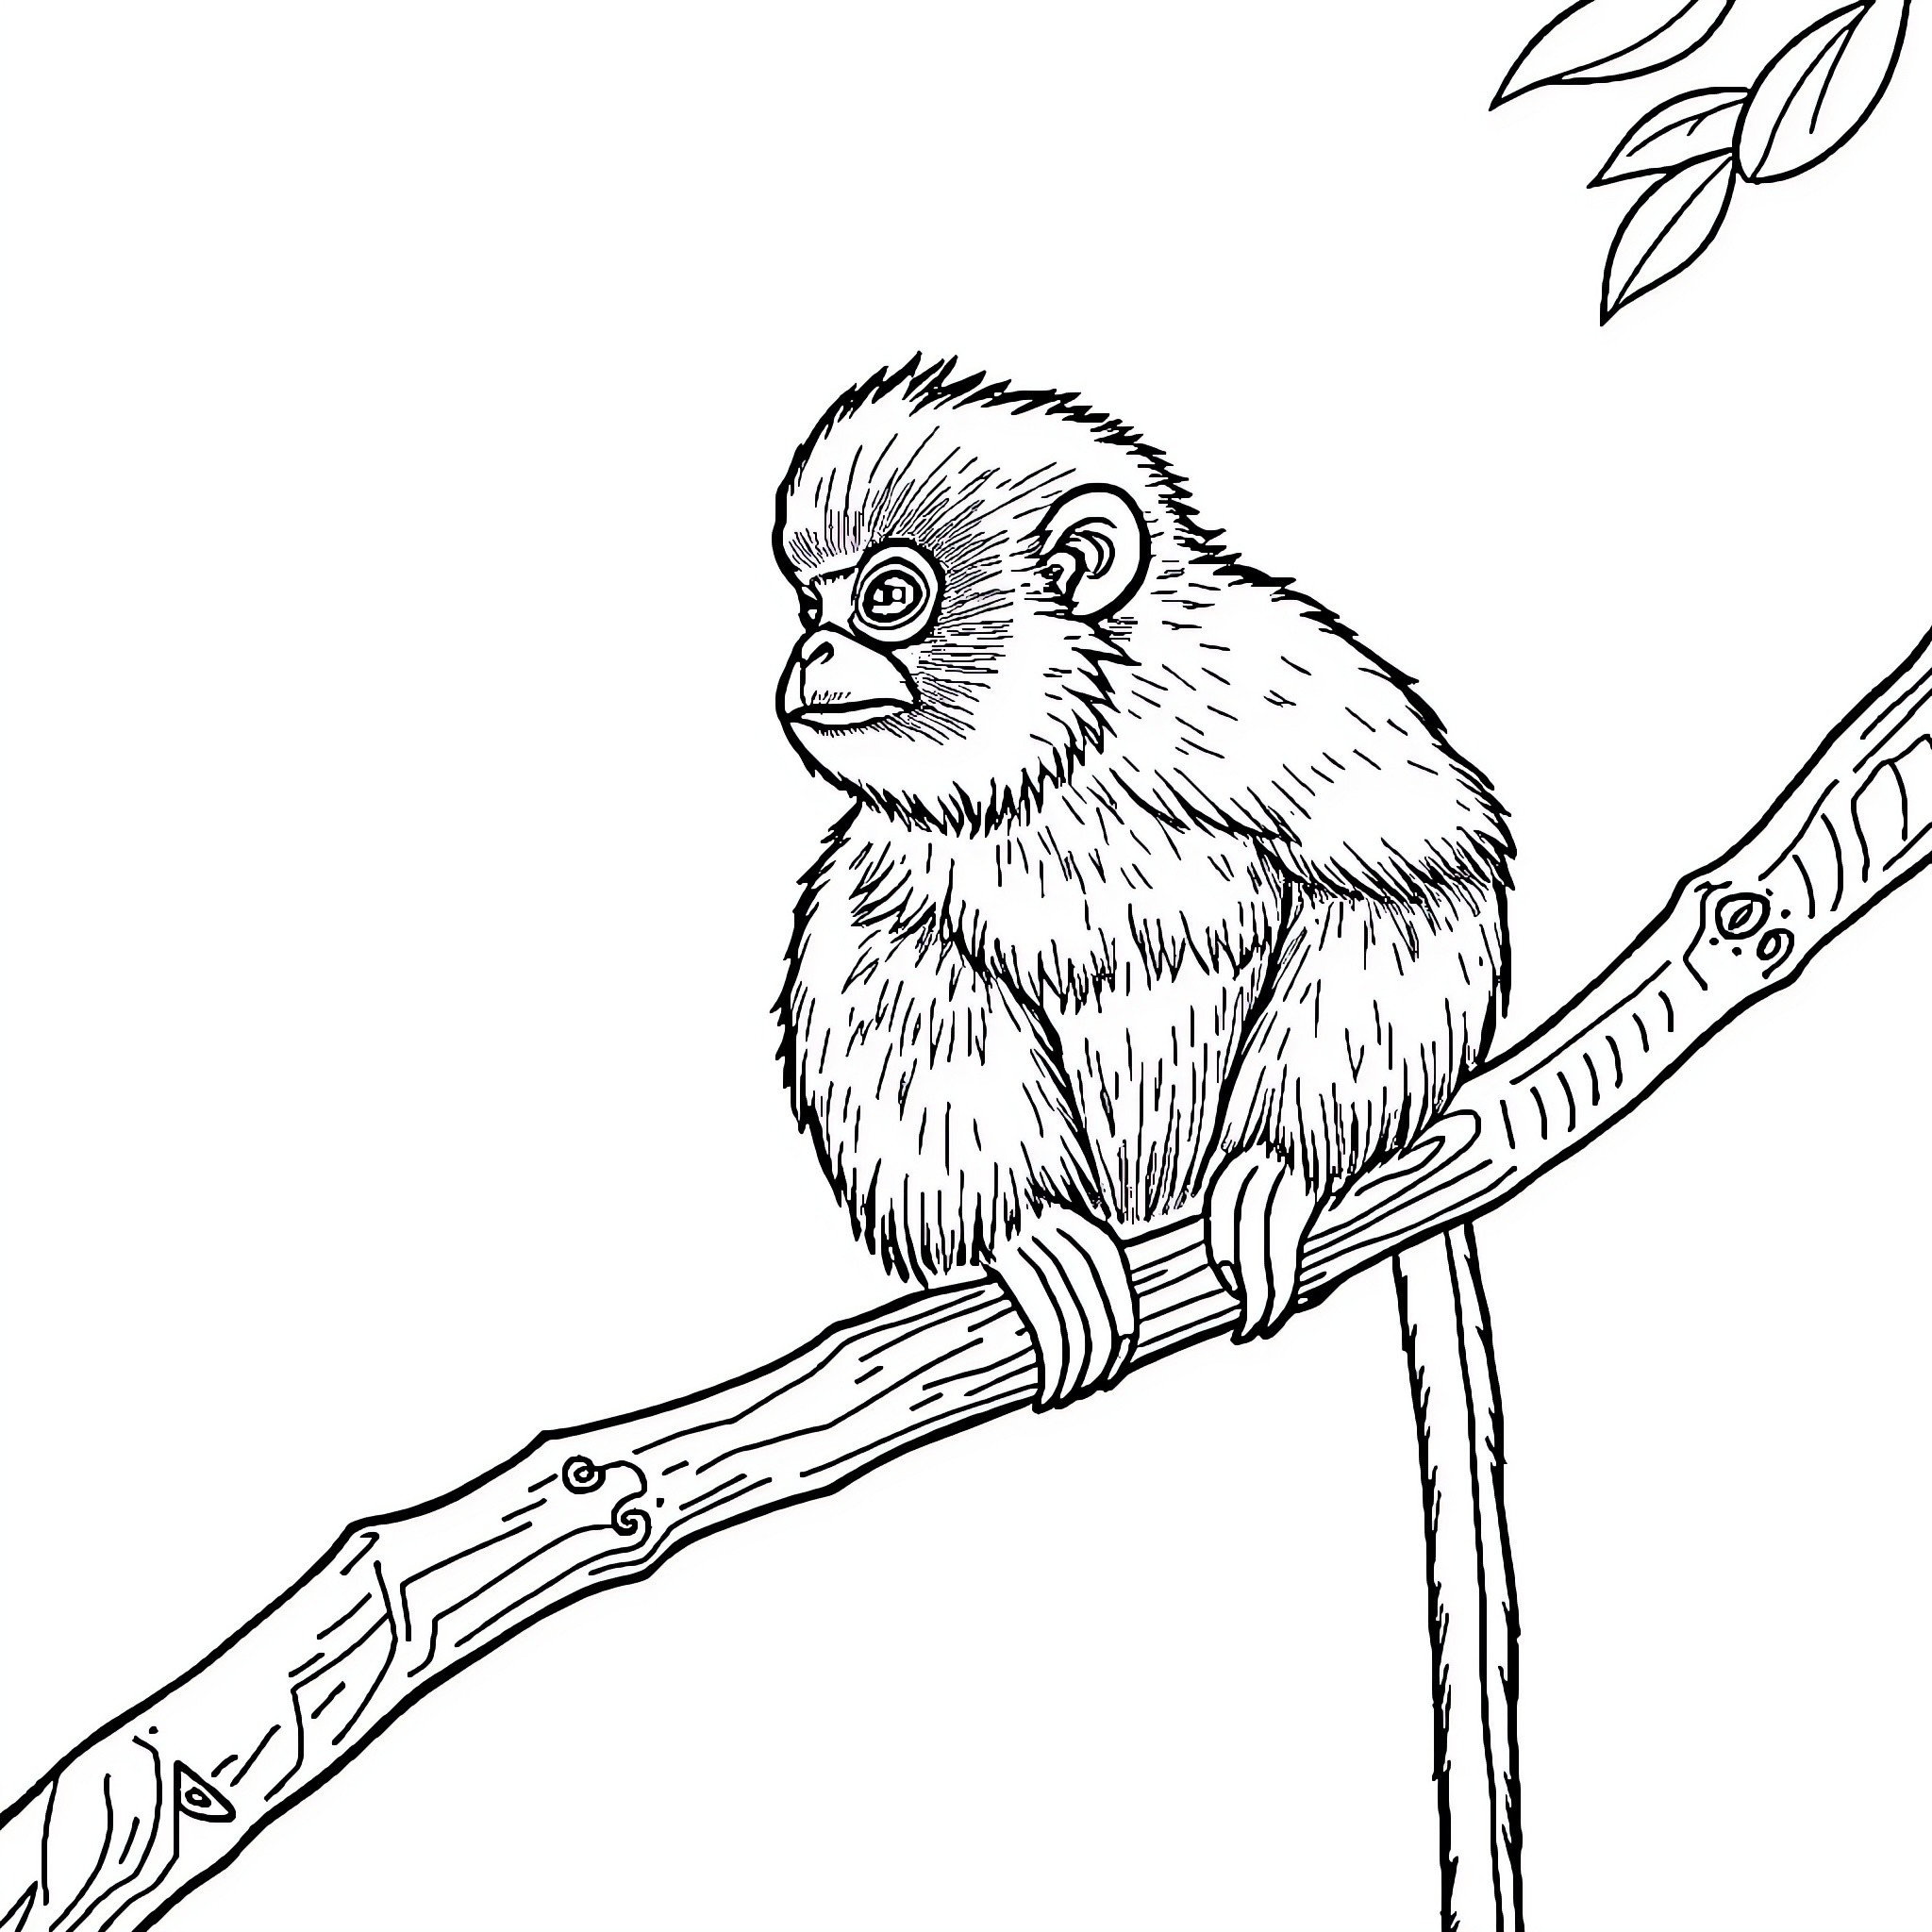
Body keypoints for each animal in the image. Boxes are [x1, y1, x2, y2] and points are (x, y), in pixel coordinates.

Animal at [773, 360, 1510, 1410]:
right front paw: (1030, 1231)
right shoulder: (909, 836)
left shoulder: (1277, 697)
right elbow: (892, 970)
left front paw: (1276, 1166)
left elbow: (1408, 884)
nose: (812, 652)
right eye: (813, 607)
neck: (1076, 745)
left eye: (887, 597)